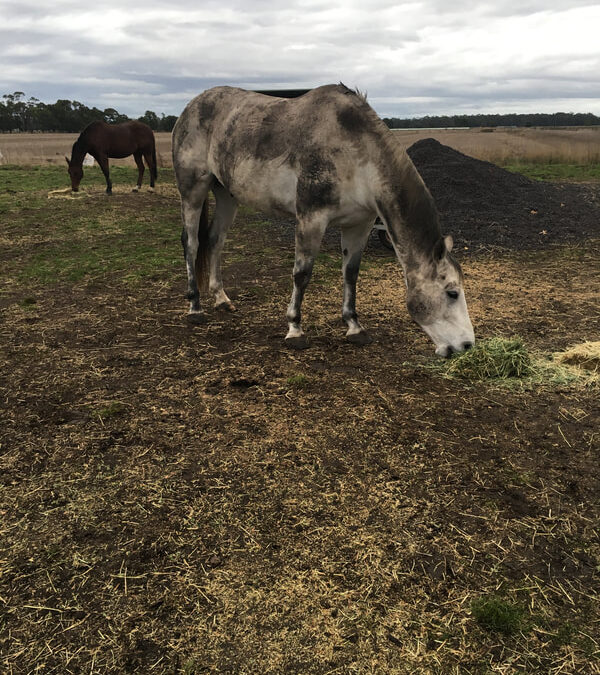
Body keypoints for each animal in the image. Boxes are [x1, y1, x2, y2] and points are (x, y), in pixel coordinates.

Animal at [171, 84, 476, 356]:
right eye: (452, 293)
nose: (466, 345)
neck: (356, 153)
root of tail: (188, 109)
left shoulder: (359, 225)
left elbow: (351, 273)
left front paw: (354, 327)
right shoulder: (311, 219)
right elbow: (302, 274)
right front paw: (295, 330)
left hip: (226, 194)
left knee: (215, 240)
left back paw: (221, 299)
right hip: (193, 190)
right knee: (192, 242)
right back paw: (195, 307)